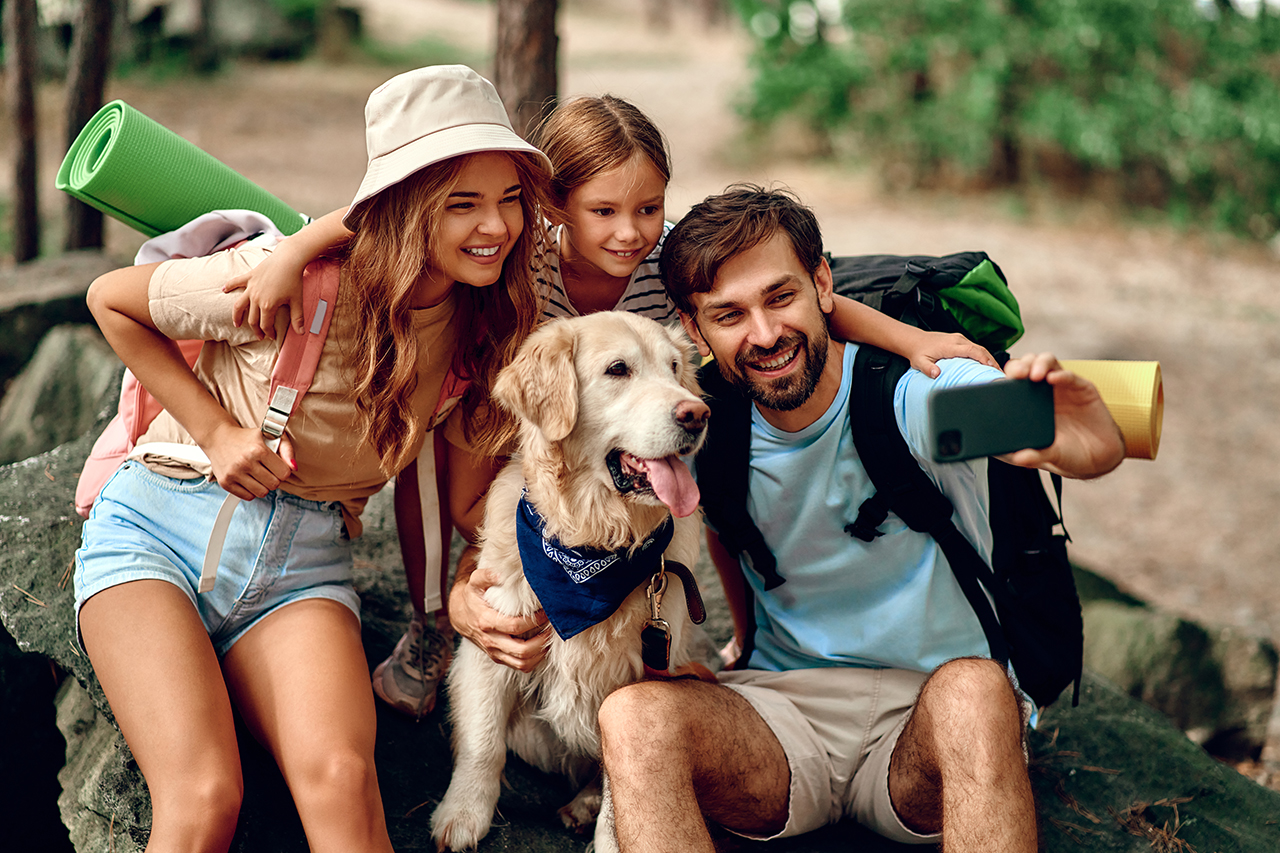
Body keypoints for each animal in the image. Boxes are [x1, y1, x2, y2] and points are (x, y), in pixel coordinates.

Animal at [430, 312, 711, 850]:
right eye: (618, 369)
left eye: (674, 368)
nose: (697, 414)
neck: (592, 544)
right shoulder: (493, 641)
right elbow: (483, 742)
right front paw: (462, 814)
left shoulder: (637, 684)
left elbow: (620, 784)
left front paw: (607, 839)